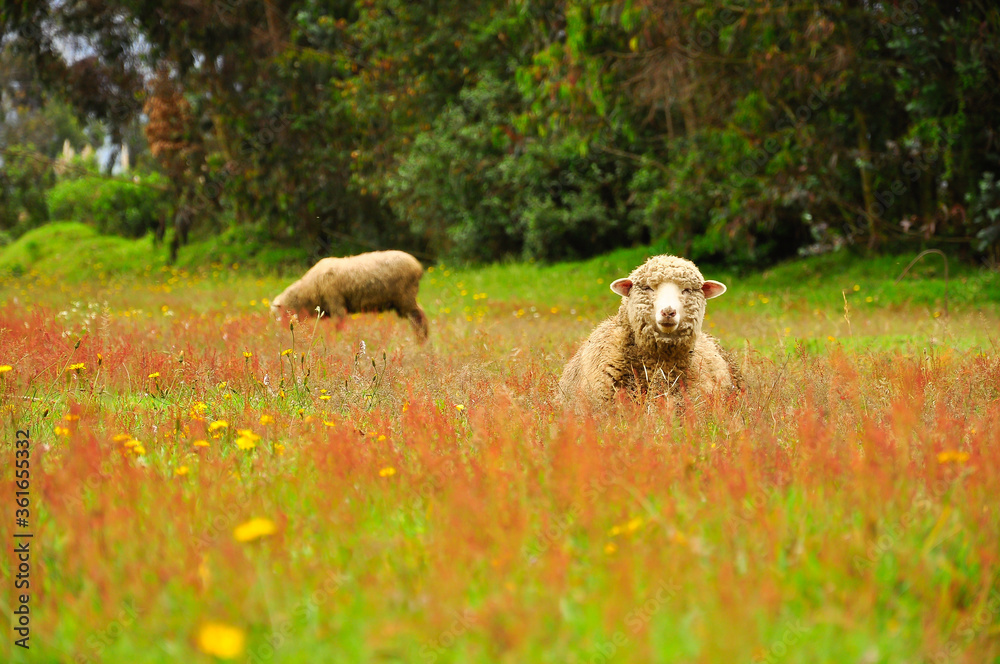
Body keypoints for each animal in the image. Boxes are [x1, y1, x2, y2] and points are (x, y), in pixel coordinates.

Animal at [270, 250, 430, 342]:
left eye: (281, 314)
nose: (282, 334)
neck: (309, 290)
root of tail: (417, 266)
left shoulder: (336, 304)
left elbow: (338, 326)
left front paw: (338, 341)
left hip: (405, 298)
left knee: (417, 317)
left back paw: (421, 340)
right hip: (403, 301)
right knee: (420, 314)